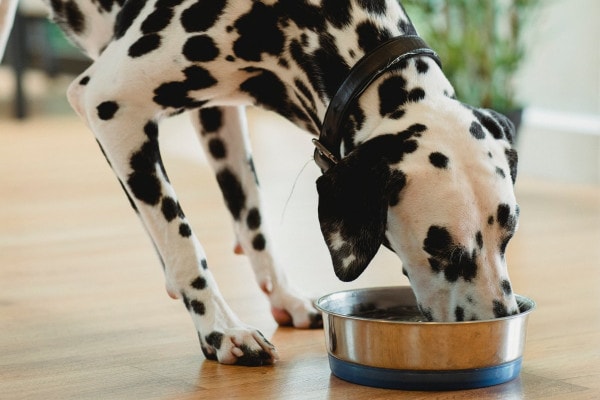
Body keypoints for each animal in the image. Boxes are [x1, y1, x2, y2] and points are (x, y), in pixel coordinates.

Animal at [1, 0, 520, 366]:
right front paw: (221, 330)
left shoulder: (220, 109)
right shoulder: (110, 104)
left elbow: (251, 214)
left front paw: (283, 296)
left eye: (509, 236)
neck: (296, 15)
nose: (500, 323)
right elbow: (182, 238)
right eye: (441, 248)